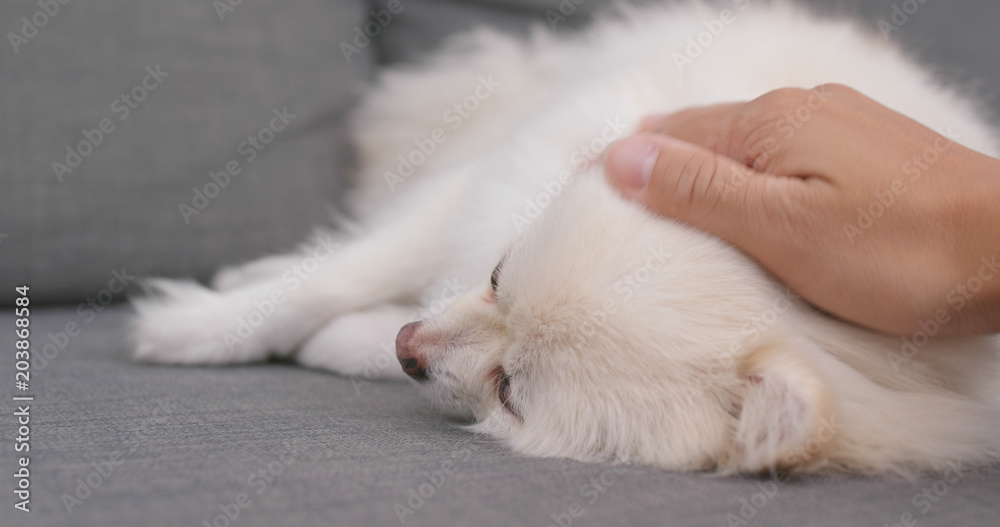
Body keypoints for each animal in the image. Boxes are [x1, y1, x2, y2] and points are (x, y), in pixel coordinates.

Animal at [133, 2, 1000, 476]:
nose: (410, 348)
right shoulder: (501, 176)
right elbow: (343, 270)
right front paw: (197, 326)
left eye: (511, 390)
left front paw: (348, 341)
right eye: (496, 274)